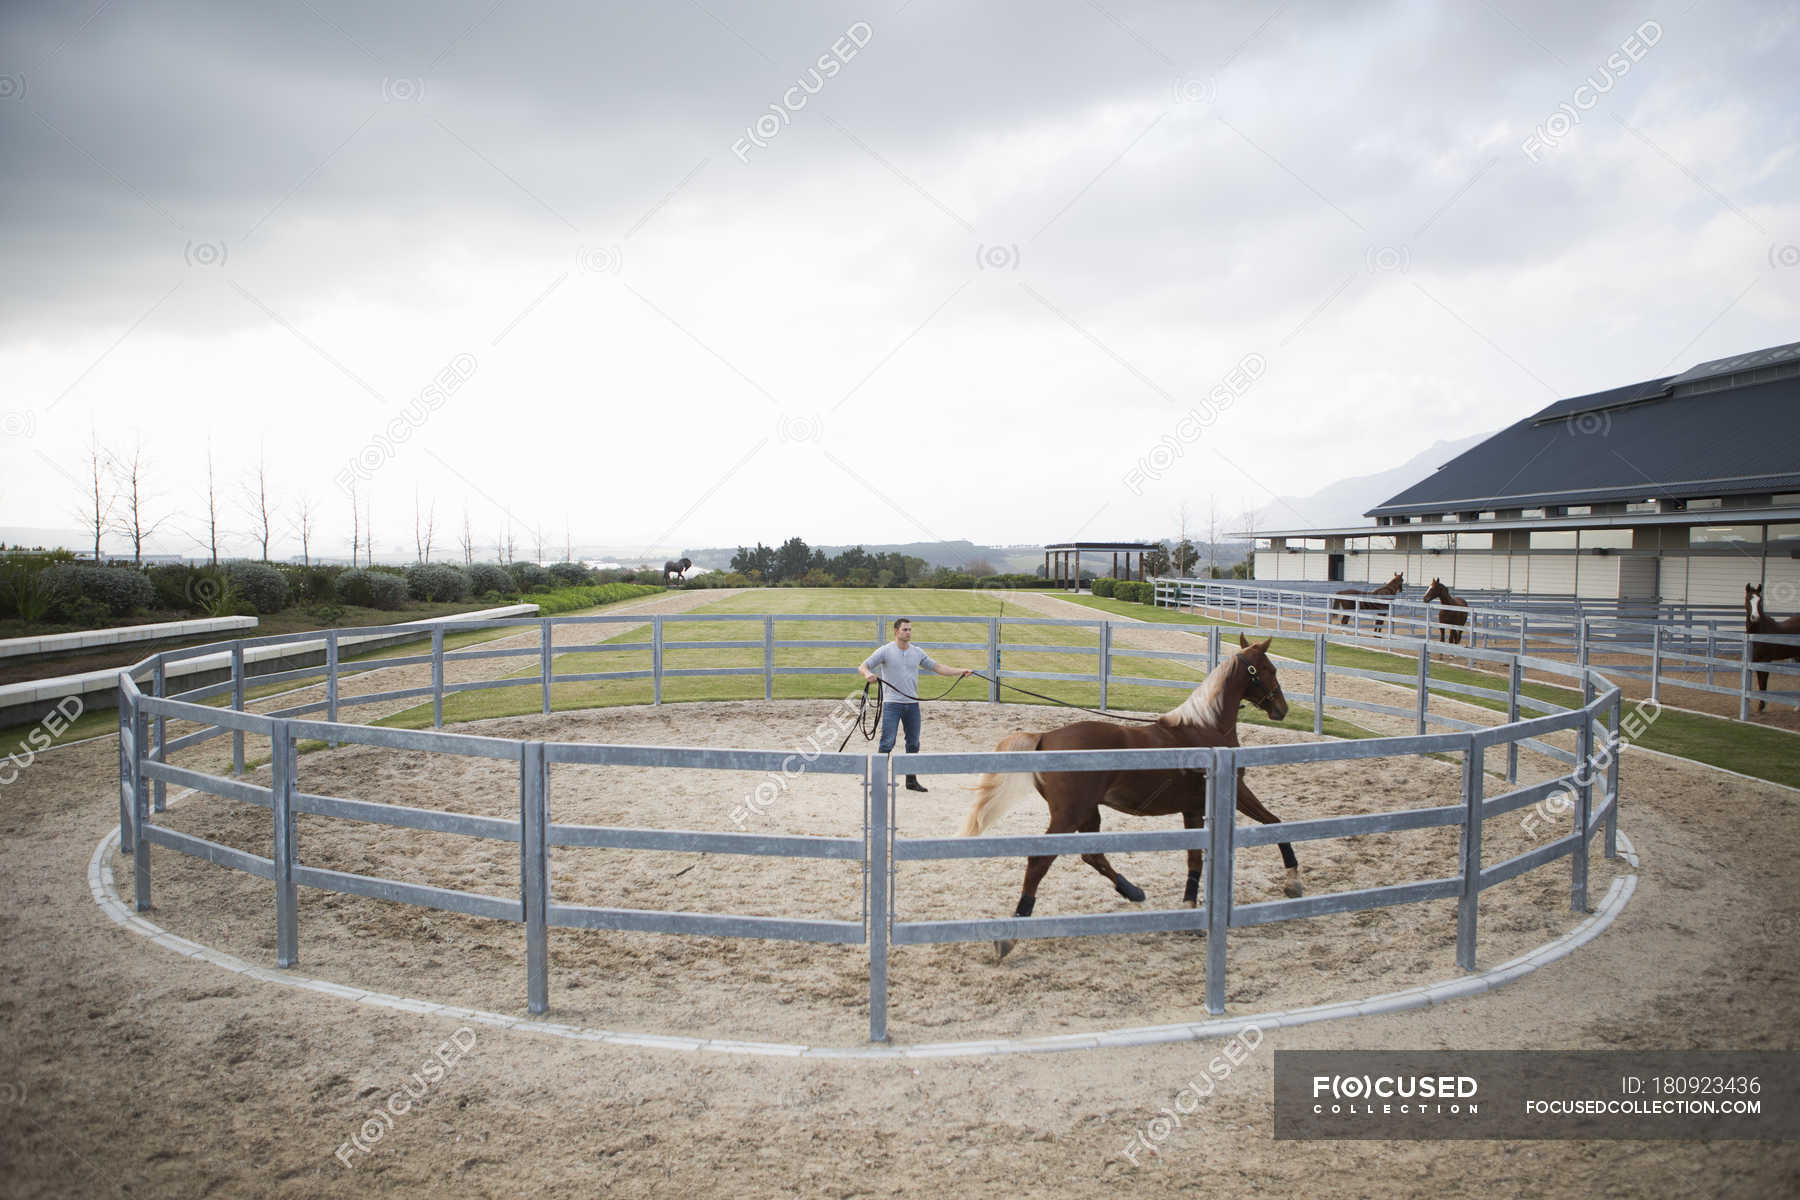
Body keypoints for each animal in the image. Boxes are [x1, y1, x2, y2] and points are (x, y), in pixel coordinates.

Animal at [958, 634, 1301, 960]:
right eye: (1271, 669)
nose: (1281, 709)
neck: (1207, 728)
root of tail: (1045, 738)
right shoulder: (1237, 793)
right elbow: (1275, 824)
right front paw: (1293, 880)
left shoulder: (1192, 809)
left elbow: (1194, 860)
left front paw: (1189, 910)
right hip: (1069, 815)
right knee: (1040, 861)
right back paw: (1011, 934)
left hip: (1087, 812)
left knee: (1092, 855)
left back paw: (1132, 890)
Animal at [1745, 584, 1800, 713]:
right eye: (1748, 598)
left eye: (1760, 600)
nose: (1755, 617)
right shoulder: (1755, 661)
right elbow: (1760, 681)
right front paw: (1760, 706)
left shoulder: (1766, 660)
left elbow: (1764, 681)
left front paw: (1762, 706)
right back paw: (1797, 707)